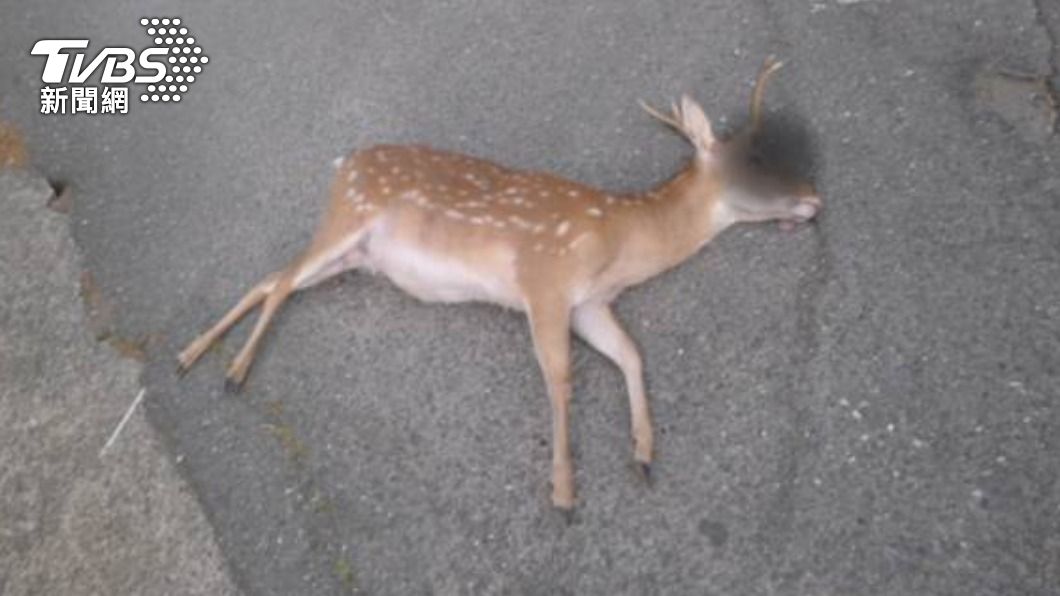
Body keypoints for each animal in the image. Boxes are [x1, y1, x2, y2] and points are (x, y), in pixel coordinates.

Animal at [177, 57, 821, 511]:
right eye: (755, 163)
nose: (813, 198)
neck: (619, 241)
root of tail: (343, 165)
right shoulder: (545, 279)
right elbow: (560, 381)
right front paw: (564, 493)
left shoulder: (591, 304)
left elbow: (631, 354)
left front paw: (643, 453)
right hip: (348, 218)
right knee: (282, 280)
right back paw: (233, 372)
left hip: (356, 257)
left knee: (271, 279)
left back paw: (191, 356)